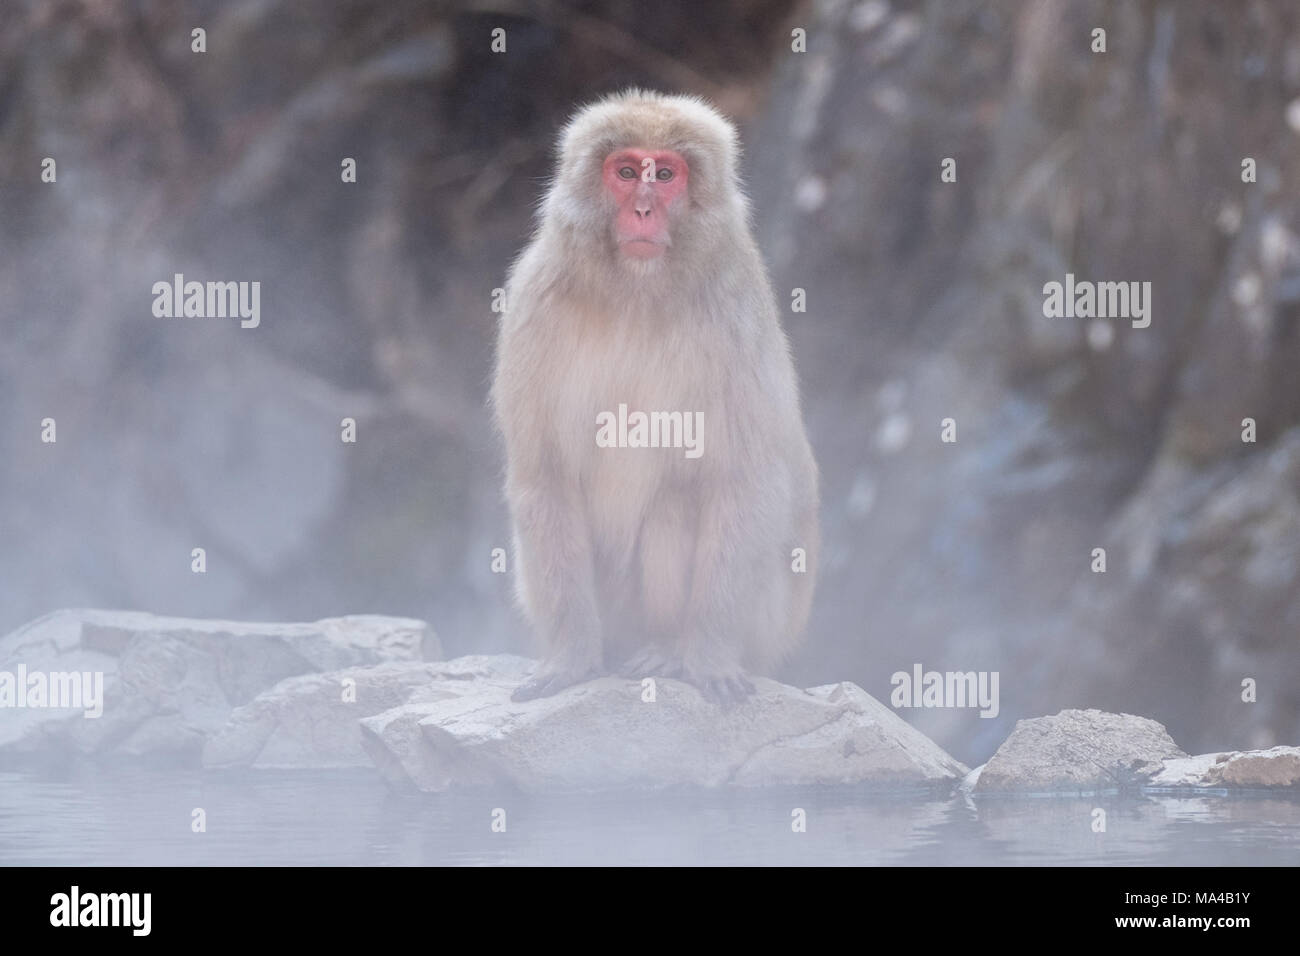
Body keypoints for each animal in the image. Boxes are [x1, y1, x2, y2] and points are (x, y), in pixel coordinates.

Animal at [491, 89, 816, 702]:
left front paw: (708, 655)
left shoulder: (734, 311)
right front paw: (571, 656)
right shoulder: (534, 302)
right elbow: (544, 472)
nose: (643, 209)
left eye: (664, 175)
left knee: (677, 503)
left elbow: (745, 476)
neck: (636, 295)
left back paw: (668, 648)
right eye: (625, 173)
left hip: (769, 622)